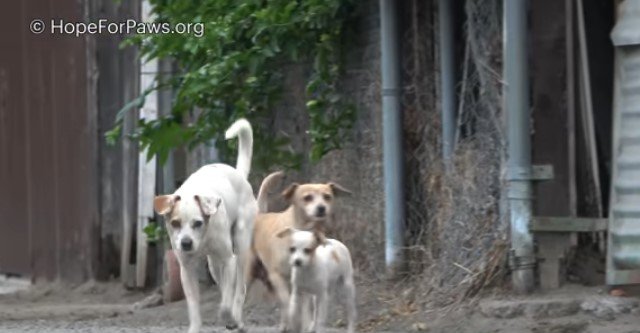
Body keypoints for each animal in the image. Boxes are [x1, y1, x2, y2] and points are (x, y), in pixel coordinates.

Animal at [153, 118, 258, 332]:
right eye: (175, 223)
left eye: (198, 222)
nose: (185, 243)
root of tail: (238, 175)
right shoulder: (187, 271)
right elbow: (194, 308)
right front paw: (195, 327)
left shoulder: (228, 260)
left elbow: (225, 305)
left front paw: (229, 316)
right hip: (213, 265)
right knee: (225, 285)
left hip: (240, 247)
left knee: (239, 289)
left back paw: (237, 319)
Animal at [249, 172, 350, 330]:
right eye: (307, 197)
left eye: (327, 196)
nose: (321, 208)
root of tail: (260, 214)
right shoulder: (277, 276)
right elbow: (288, 303)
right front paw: (295, 320)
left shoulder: (303, 282)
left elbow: (305, 308)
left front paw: (306, 324)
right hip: (247, 272)